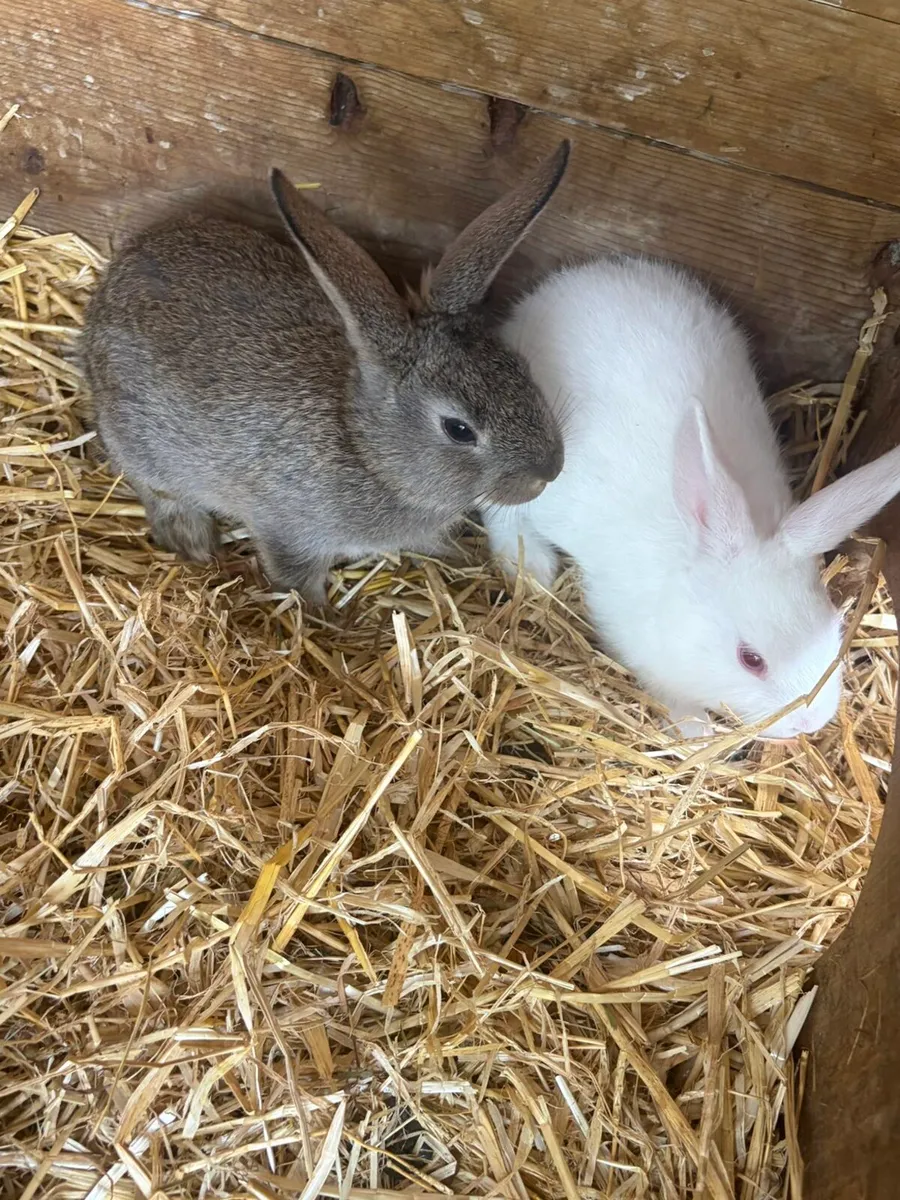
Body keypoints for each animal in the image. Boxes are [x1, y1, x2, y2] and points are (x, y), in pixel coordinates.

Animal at [80, 142, 571, 605]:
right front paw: (325, 619)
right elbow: (297, 579)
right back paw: (194, 540)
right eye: (459, 429)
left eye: (521, 368)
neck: (366, 450)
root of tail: (110, 285)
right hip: (142, 447)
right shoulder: (287, 530)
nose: (550, 471)